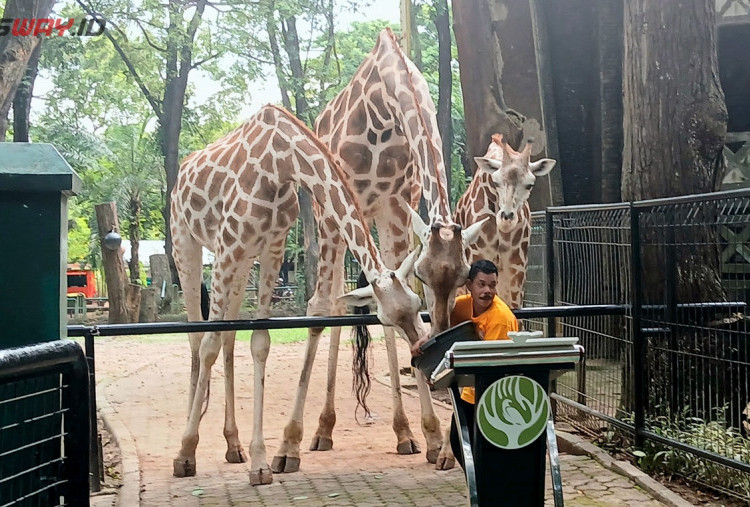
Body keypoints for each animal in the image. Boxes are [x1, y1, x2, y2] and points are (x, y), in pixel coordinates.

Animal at [170, 102, 428, 484]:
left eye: (415, 306)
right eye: (388, 318)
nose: (420, 349)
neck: (280, 163)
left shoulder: (270, 248)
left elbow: (258, 343)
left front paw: (259, 462)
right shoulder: (228, 247)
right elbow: (208, 345)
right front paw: (187, 450)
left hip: (241, 263)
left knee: (228, 339)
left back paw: (233, 445)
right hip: (186, 243)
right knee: (197, 339)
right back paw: (188, 447)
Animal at [274, 26, 484, 472]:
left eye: (463, 275)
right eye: (423, 273)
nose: (439, 338)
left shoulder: (398, 206)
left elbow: (388, 314)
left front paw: (435, 442)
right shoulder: (335, 208)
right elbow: (320, 309)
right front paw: (288, 446)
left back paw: (404, 434)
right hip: (331, 218)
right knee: (333, 306)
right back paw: (321, 431)